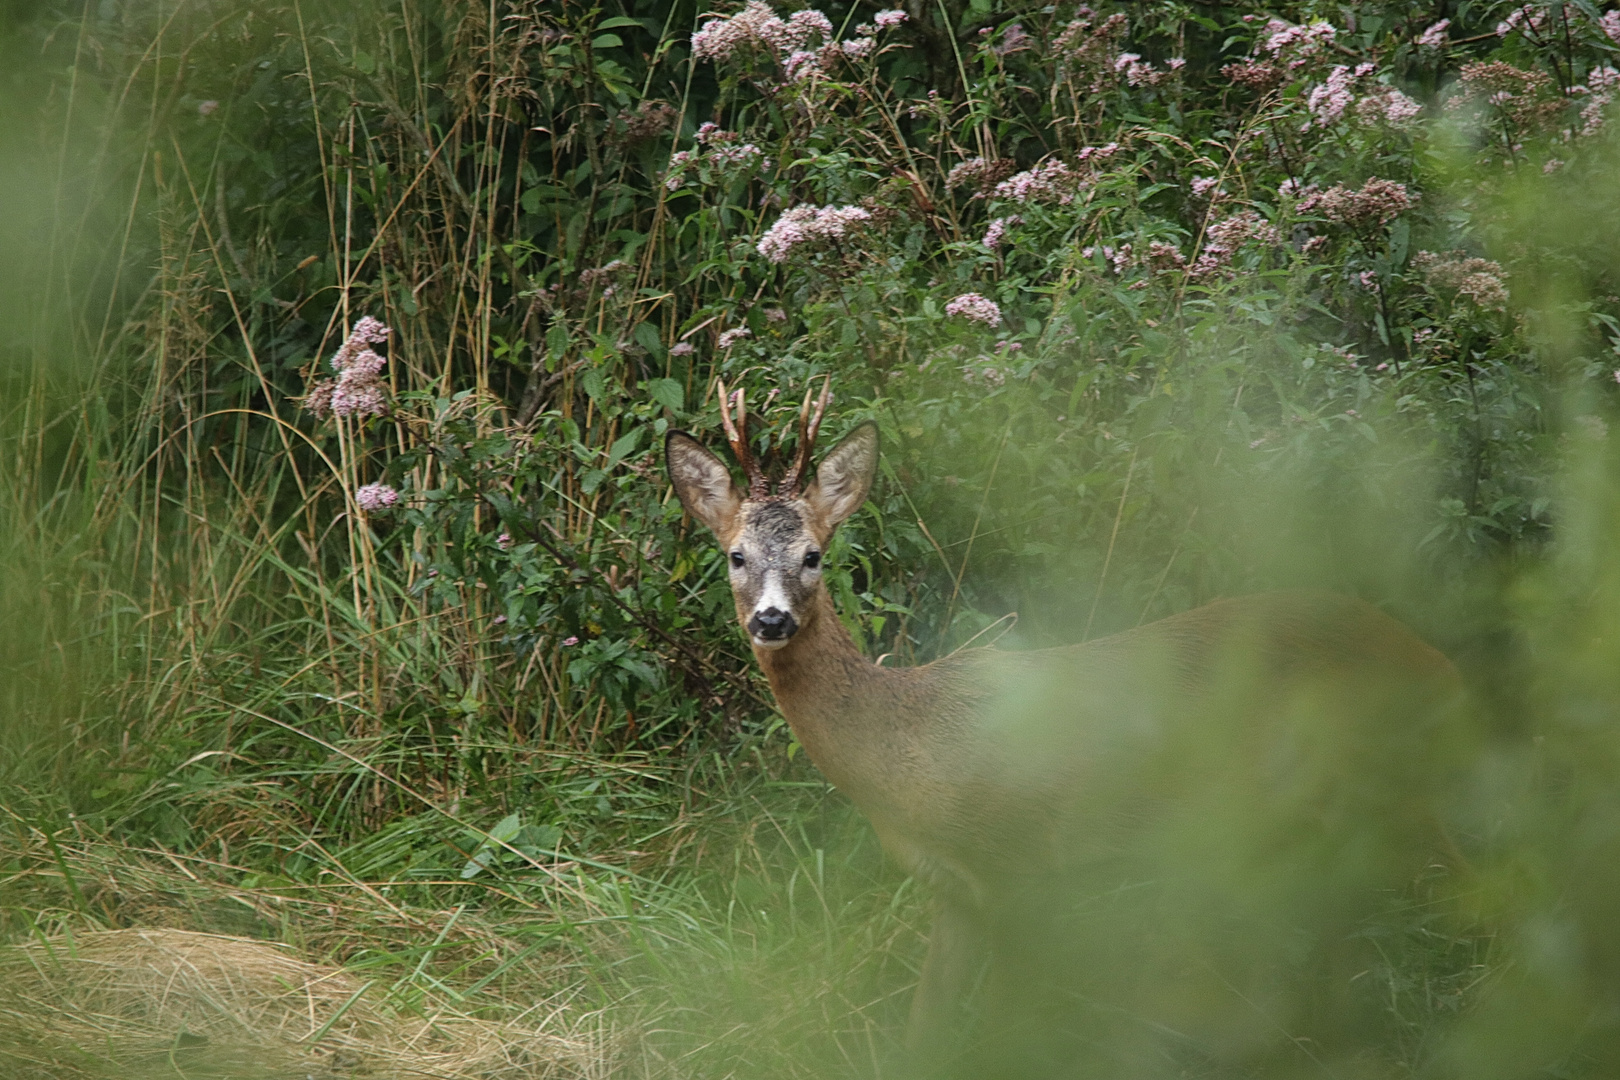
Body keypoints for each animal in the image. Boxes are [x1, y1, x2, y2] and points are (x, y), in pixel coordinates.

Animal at [667, 380, 1470, 1075]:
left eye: (814, 555)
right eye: (735, 555)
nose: (772, 620)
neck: (912, 750)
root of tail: (1440, 666)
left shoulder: (1024, 864)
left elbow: (1010, 1028)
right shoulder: (955, 891)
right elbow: (926, 1030)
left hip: (1397, 796)